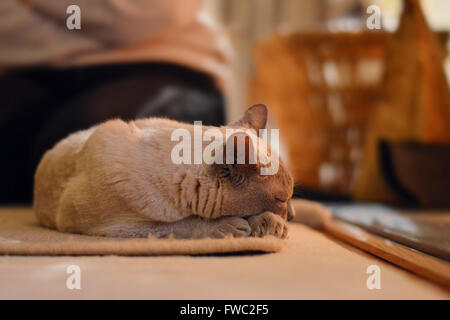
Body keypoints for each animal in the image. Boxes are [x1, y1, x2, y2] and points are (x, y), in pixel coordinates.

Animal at [34, 104, 296, 239]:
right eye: (280, 199)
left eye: (287, 198)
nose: (292, 215)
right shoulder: (123, 227)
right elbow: (183, 224)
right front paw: (231, 227)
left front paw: (271, 226)